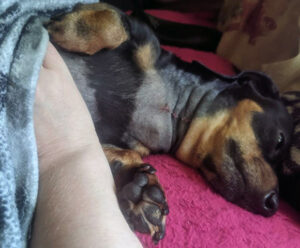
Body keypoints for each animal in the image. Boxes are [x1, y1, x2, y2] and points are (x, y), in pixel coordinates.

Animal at [46, 1, 292, 242]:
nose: (272, 205)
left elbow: (112, 152)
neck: (168, 108)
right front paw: (64, 27)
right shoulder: (138, 31)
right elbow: (115, 21)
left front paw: (142, 188)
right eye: (280, 140)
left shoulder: (107, 138)